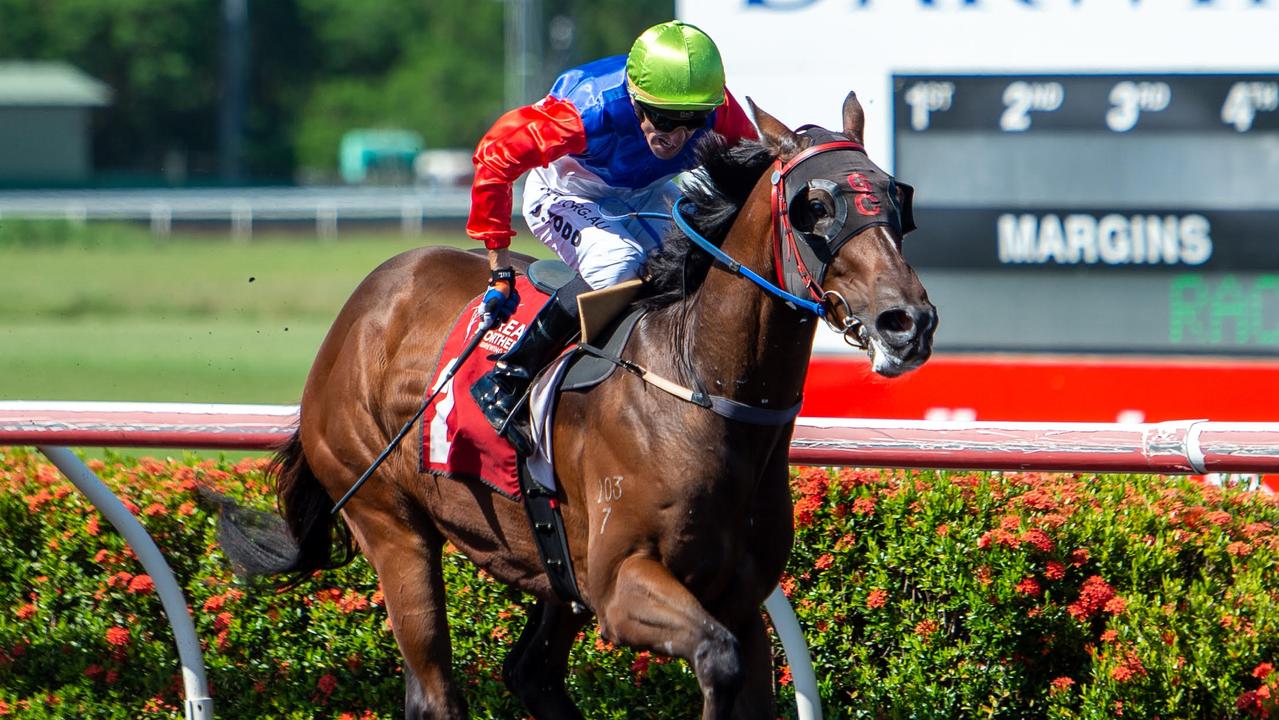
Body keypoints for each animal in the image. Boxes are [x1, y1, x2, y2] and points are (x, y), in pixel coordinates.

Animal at [214, 92, 936, 716]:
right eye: (814, 207)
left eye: (894, 197)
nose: (906, 322)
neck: (702, 392)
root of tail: (361, 307)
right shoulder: (621, 585)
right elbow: (718, 658)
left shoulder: (738, 595)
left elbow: (743, 671)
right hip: (388, 520)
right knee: (436, 689)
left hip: (551, 566)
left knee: (529, 673)